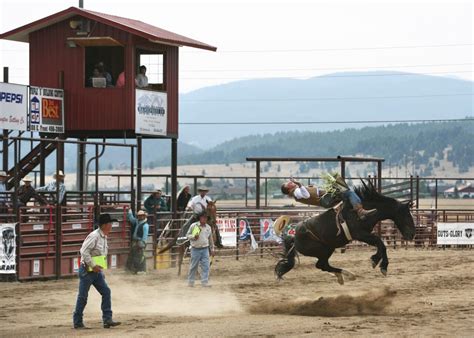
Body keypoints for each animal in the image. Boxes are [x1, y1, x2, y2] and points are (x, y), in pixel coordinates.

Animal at [274, 181, 414, 284]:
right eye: (407, 214)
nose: (412, 234)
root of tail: (294, 238)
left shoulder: (365, 234)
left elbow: (380, 244)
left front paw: (376, 260)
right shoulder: (360, 234)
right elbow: (381, 243)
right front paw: (381, 264)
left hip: (328, 249)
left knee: (323, 265)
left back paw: (344, 275)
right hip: (322, 250)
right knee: (322, 265)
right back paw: (347, 274)